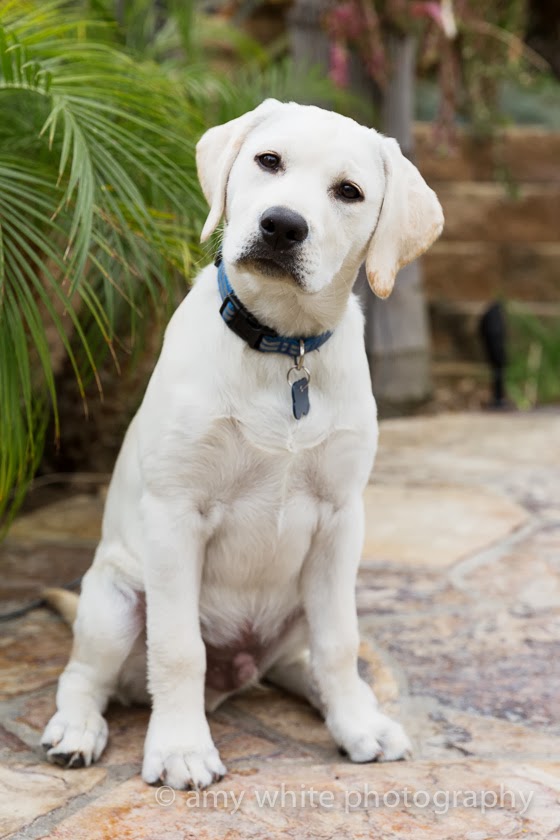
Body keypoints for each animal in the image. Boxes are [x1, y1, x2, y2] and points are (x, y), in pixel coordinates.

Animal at [42, 99, 443, 790]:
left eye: (349, 192)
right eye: (268, 161)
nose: (282, 225)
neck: (284, 346)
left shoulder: (341, 520)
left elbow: (340, 644)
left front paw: (357, 724)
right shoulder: (176, 515)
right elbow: (178, 648)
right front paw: (181, 749)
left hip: (304, 602)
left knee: (307, 660)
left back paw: (350, 708)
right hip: (114, 600)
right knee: (85, 675)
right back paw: (77, 729)